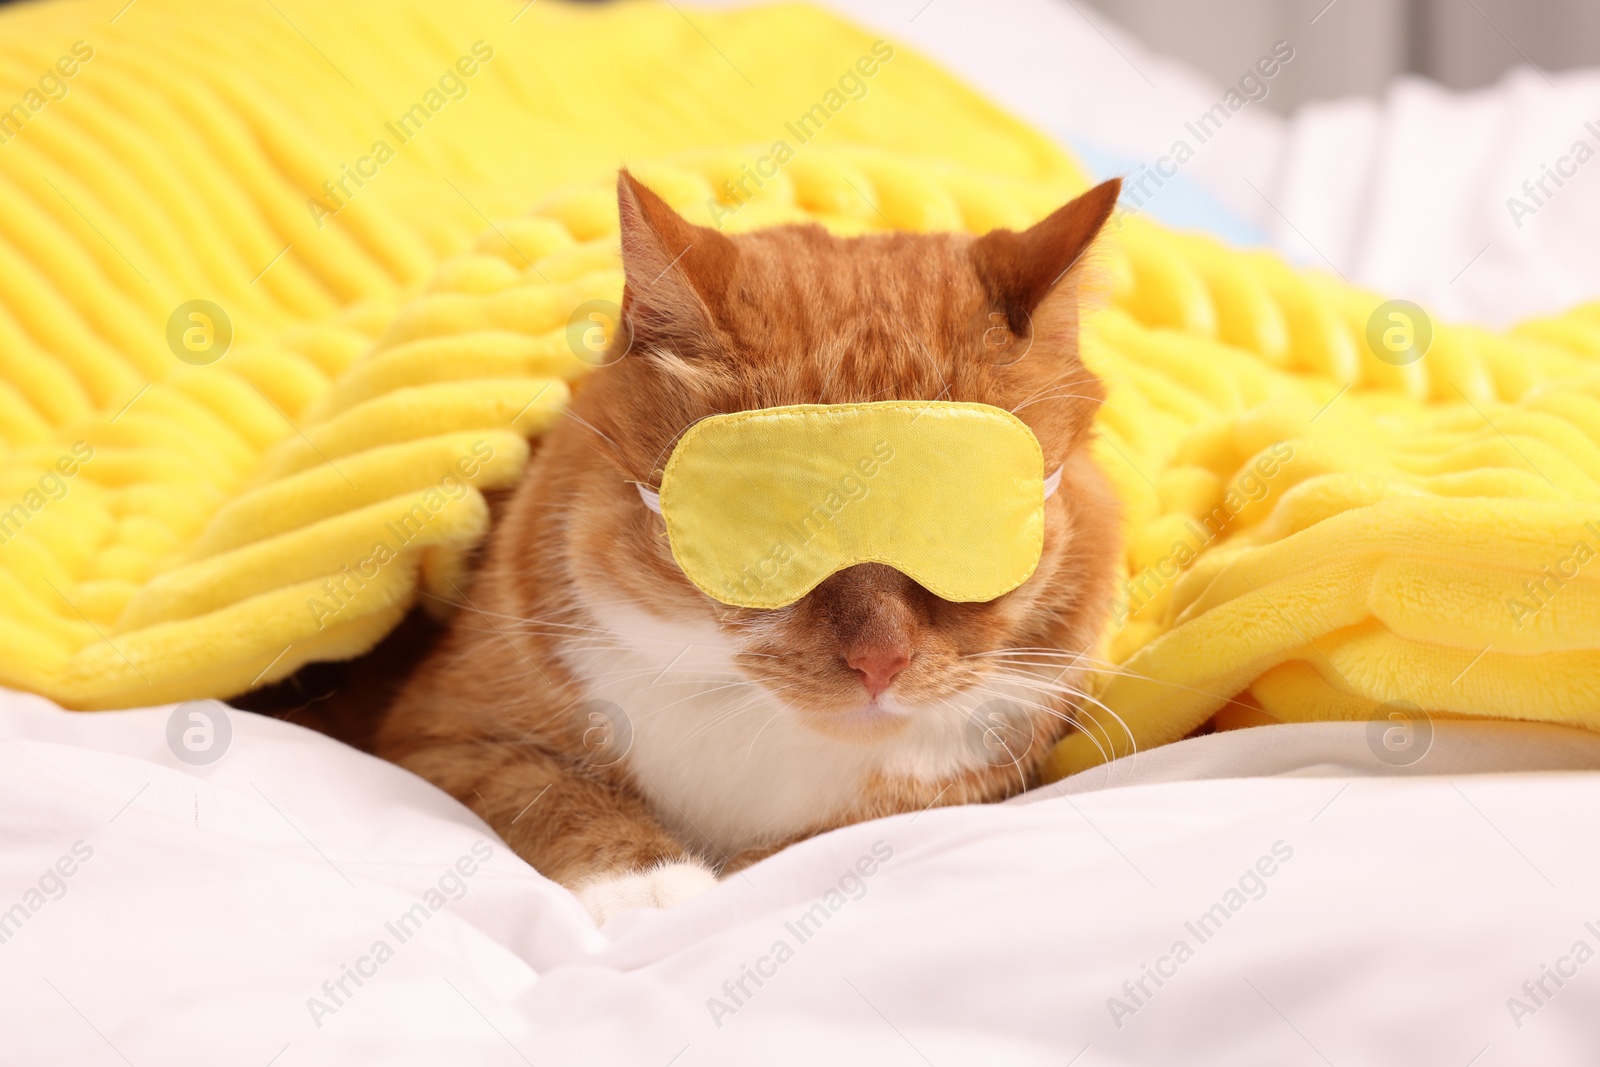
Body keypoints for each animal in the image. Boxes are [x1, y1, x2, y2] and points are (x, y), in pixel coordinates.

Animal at [377, 171, 1126, 921]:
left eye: (964, 527)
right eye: (768, 526)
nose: (880, 660)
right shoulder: (440, 733)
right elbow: (544, 788)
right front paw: (647, 883)